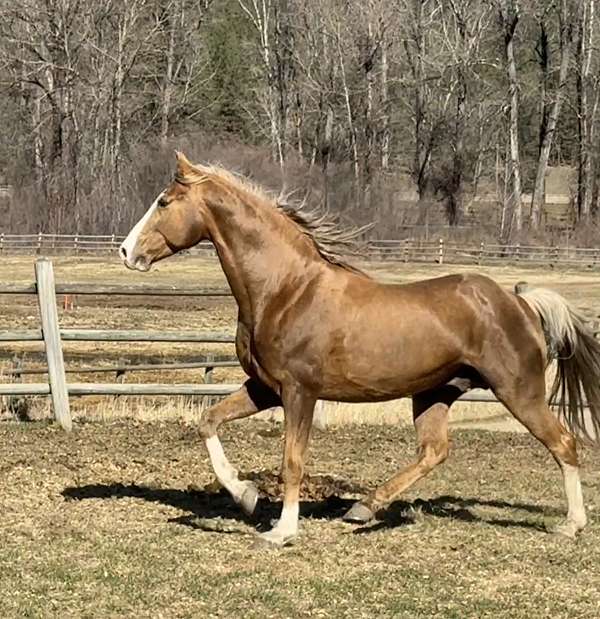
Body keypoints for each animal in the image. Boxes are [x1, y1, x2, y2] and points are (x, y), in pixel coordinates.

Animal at [119, 153, 600, 548]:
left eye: (164, 202)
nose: (126, 252)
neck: (285, 289)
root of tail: (520, 302)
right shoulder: (265, 388)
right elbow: (208, 421)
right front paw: (247, 496)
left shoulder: (299, 392)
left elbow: (292, 460)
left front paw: (282, 531)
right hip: (435, 392)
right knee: (434, 451)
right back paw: (363, 508)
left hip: (518, 391)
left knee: (563, 442)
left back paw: (571, 525)